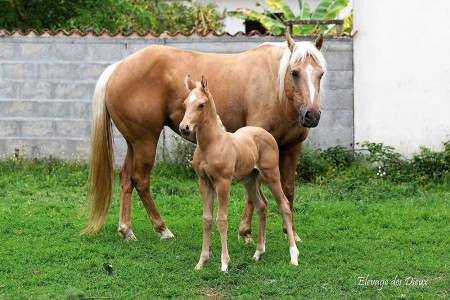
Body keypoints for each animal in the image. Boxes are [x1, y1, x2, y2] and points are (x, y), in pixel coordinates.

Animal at [179, 75, 298, 272]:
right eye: (185, 103)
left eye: (201, 104)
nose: (184, 128)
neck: (212, 145)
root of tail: (266, 133)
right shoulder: (204, 183)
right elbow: (207, 219)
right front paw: (201, 262)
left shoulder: (223, 182)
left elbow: (221, 220)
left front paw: (224, 263)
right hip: (250, 179)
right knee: (262, 206)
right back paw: (258, 252)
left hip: (271, 175)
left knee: (284, 206)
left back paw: (294, 256)